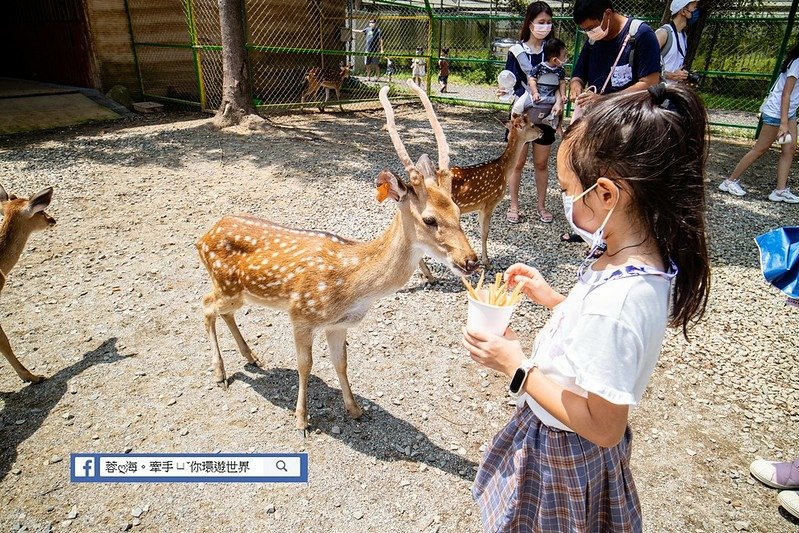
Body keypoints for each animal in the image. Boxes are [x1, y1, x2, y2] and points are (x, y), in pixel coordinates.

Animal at [198, 82, 478, 432]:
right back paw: (220, 372)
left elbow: (341, 363)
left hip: (239, 292)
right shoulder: (301, 315)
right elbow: (305, 365)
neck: (351, 283)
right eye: (429, 219)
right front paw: (301, 420)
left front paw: (355, 409)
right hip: (226, 284)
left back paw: (251, 357)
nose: (471, 260)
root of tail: (202, 237)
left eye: (458, 210)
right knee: (205, 305)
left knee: (223, 312)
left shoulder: (337, 325)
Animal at [418, 110, 544, 280]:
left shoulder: (479, 206)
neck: (504, 170)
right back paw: (430, 276)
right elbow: (485, 233)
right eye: (532, 125)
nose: (542, 132)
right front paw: (487, 262)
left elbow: (481, 232)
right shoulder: (490, 201)